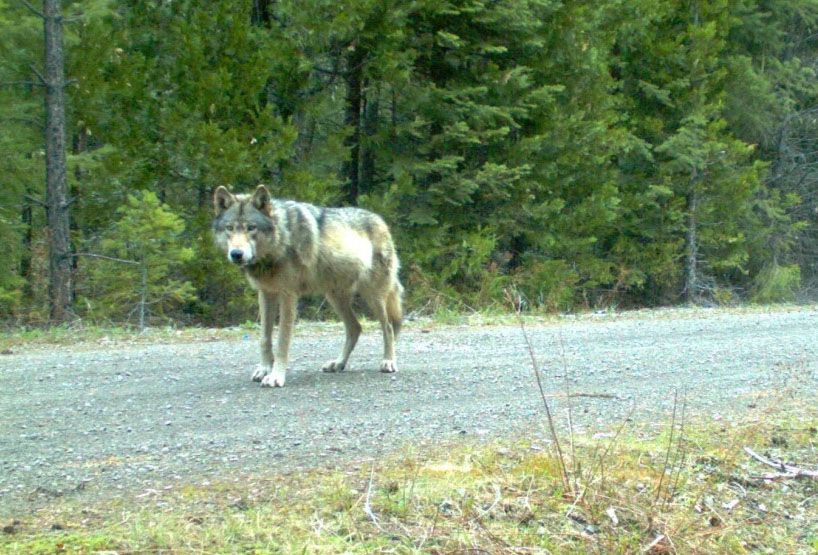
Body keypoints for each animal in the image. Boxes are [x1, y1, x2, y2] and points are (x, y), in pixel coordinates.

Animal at [212, 184, 404, 387]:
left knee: (388, 327)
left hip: (373, 296)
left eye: (251, 228)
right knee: (355, 328)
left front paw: (275, 376)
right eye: (230, 228)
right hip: (335, 298)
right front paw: (264, 369)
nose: (236, 254)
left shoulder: (288, 295)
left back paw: (388, 361)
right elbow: (265, 339)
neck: (281, 239)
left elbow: (282, 341)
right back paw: (338, 364)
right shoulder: (266, 293)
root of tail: (381, 220)